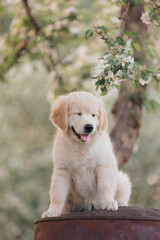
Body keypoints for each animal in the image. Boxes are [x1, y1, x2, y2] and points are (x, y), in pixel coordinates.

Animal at [42, 90, 131, 218]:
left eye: (94, 115)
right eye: (77, 113)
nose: (89, 127)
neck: (82, 147)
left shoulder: (104, 165)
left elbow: (105, 186)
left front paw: (108, 202)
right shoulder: (62, 170)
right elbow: (57, 194)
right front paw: (52, 211)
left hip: (122, 180)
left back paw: (120, 202)